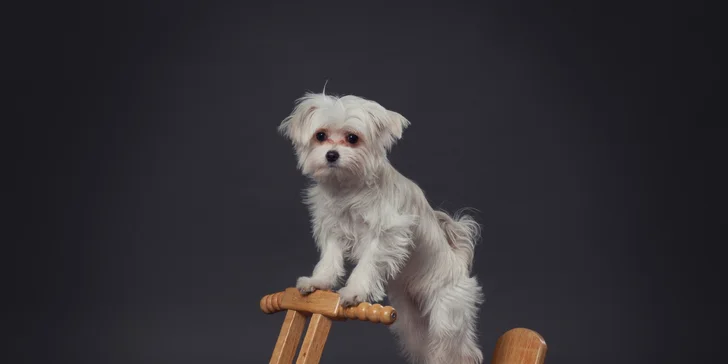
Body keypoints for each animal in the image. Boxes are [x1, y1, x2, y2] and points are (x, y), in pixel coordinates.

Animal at [278, 91, 484, 364]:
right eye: (320, 135)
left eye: (352, 138)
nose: (331, 155)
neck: (349, 188)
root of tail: (460, 264)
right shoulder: (333, 231)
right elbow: (329, 261)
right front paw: (319, 281)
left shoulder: (386, 235)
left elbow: (367, 265)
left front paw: (355, 292)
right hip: (412, 324)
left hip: (446, 318)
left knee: (459, 351)